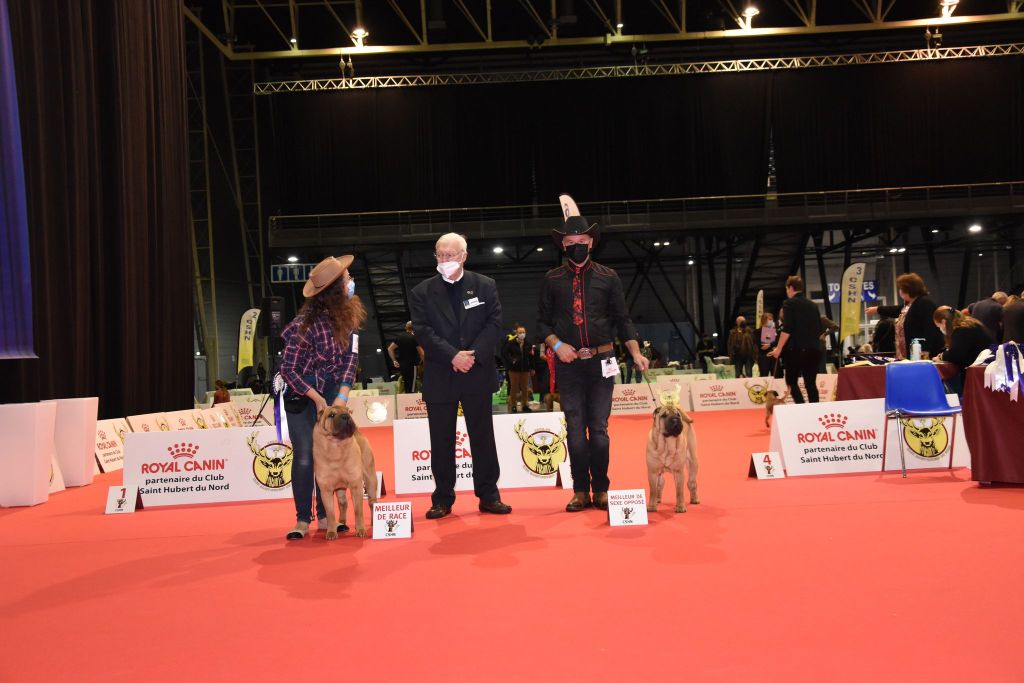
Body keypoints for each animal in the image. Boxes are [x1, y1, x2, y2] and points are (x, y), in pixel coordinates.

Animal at [312, 406, 378, 539]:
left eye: (347, 411)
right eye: (331, 415)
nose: (346, 416)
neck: (336, 446)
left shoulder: (356, 486)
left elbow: (358, 511)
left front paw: (361, 530)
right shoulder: (326, 490)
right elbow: (330, 513)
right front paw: (331, 532)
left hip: (370, 479)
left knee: (372, 502)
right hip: (340, 488)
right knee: (343, 503)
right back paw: (342, 523)